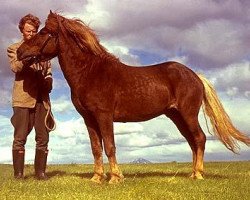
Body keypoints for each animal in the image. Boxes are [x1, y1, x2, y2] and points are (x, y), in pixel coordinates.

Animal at [16, 10, 249, 183]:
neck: (90, 72)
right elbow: (96, 148)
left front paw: (115, 178)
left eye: (44, 32)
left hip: (188, 114)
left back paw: (198, 174)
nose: (19, 52)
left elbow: (109, 146)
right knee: (192, 141)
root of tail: (195, 76)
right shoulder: (89, 119)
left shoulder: (104, 116)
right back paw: (192, 173)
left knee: (199, 138)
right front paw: (97, 178)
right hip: (176, 117)